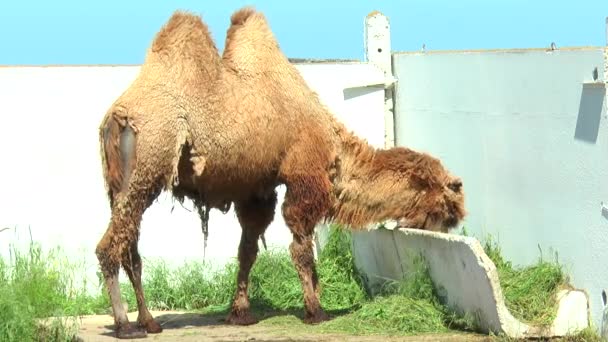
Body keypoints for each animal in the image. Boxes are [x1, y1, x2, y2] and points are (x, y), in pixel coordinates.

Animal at [96, 7, 466, 340]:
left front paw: (241, 313)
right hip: (149, 165)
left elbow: (248, 250)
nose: (455, 222)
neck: (336, 152)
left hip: (120, 185)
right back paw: (125, 325)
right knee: (109, 247)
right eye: (447, 197)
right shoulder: (303, 178)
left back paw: (149, 322)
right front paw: (316, 310)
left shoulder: (257, 190)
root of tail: (117, 116)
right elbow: (300, 247)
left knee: (130, 248)